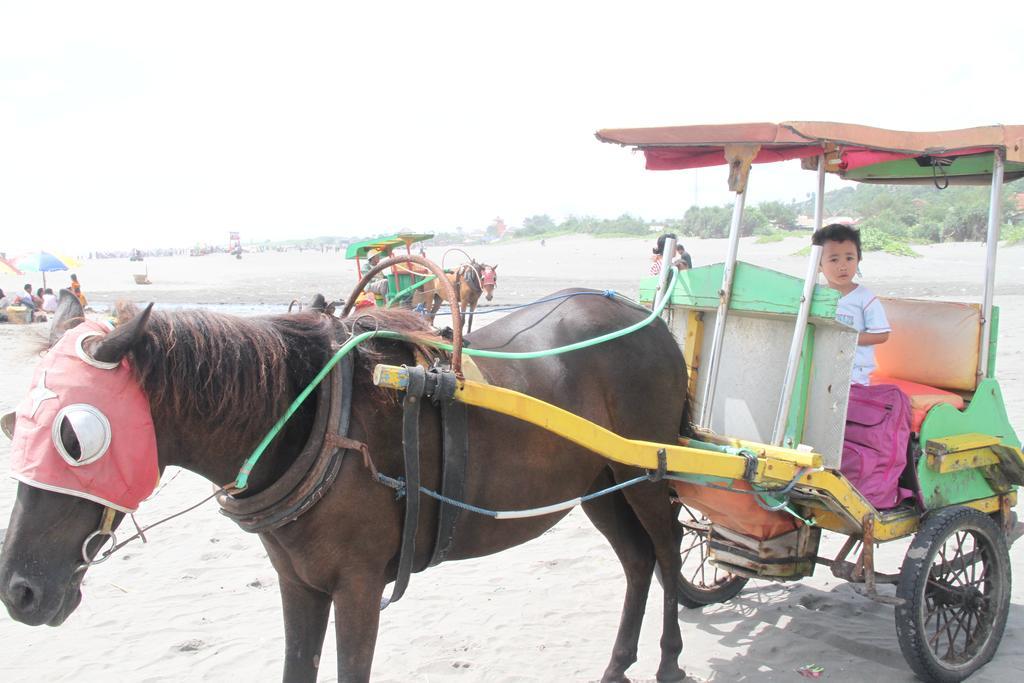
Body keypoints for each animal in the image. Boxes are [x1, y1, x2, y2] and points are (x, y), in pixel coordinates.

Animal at [0, 290, 692, 683]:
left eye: (76, 439)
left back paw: (667, 660)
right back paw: (618, 663)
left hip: (647, 473)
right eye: (15, 427)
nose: (19, 592)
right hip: (602, 482)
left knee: (663, 554)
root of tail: (649, 321)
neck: (315, 418)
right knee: (636, 562)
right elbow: (296, 669)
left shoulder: (358, 588)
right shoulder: (298, 583)